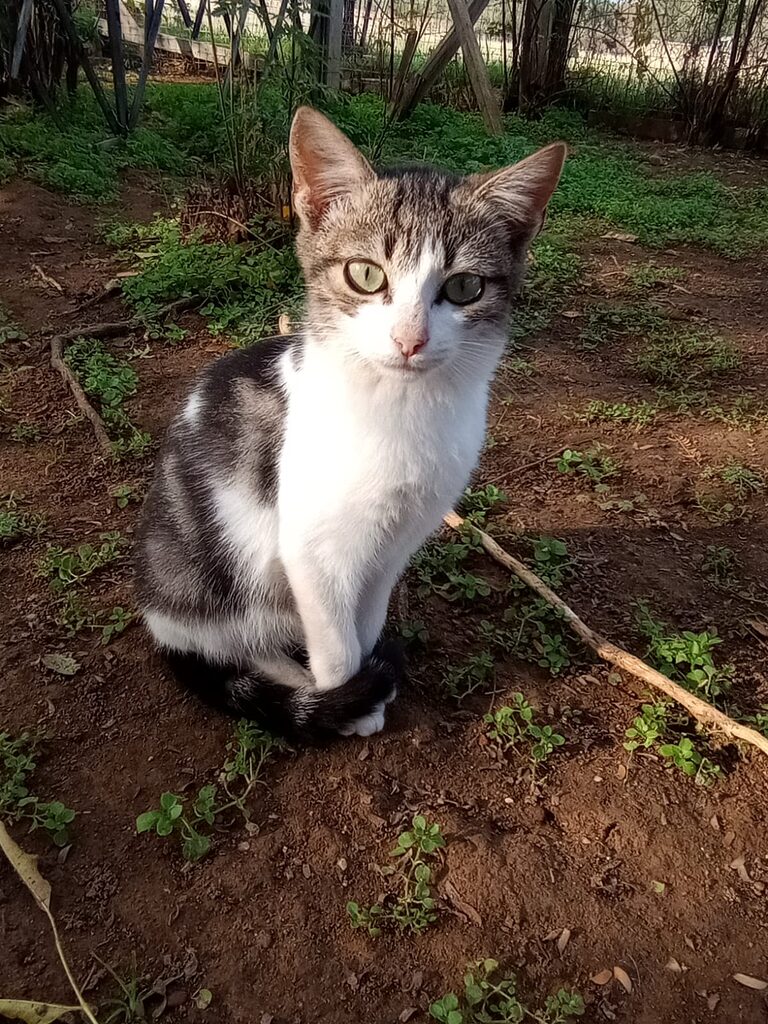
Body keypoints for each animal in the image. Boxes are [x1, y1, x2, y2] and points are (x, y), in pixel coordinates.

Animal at [134, 107, 565, 739]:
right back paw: (294, 682)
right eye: (365, 274)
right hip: (208, 581)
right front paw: (350, 701)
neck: (400, 412)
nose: (410, 340)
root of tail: (152, 607)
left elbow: (368, 616)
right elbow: (335, 643)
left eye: (464, 286)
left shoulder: (399, 538)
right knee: (227, 642)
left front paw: (369, 672)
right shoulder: (311, 550)